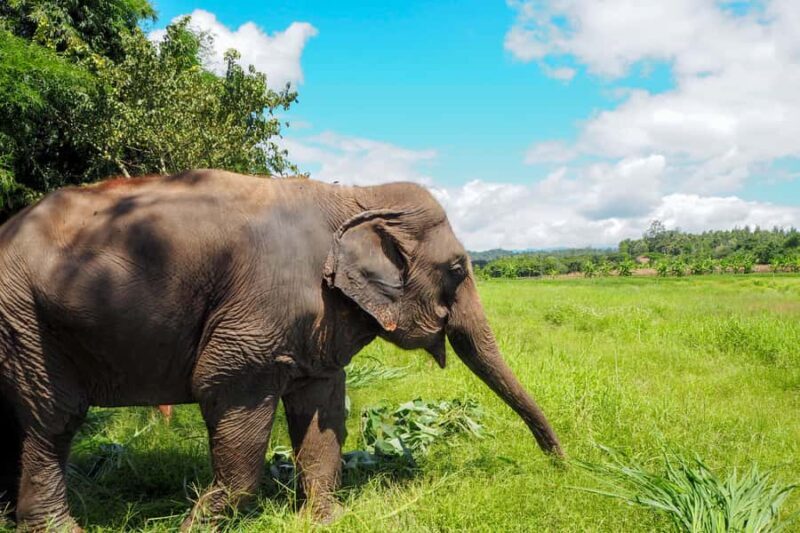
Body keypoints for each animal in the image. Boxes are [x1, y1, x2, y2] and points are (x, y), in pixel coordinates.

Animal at [0, 169, 562, 531]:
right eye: (458, 269)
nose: (559, 464)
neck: (356, 195)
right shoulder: (254, 321)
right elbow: (228, 389)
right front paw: (194, 526)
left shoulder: (321, 321)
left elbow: (322, 409)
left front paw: (329, 521)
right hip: (25, 316)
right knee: (55, 419)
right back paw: (58, 528)